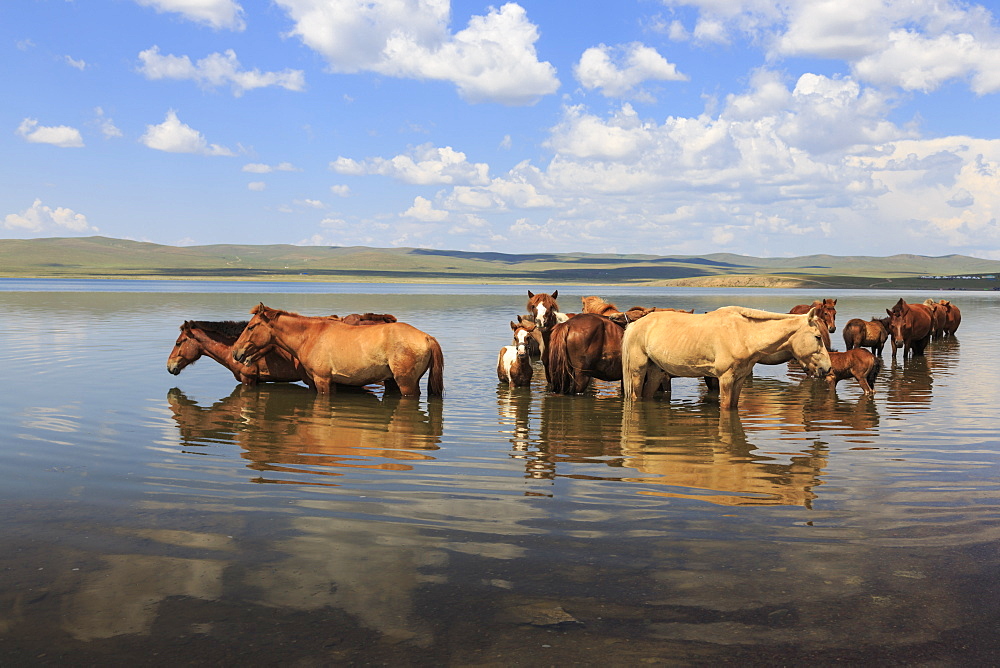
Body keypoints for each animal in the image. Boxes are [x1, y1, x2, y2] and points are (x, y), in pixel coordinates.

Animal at [232, 304, 444, 396]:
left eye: (251, 327)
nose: (236, 352)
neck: (311, 336)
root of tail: (426, 337)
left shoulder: (322, 380)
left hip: (405, 383)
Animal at [620, 306, 832, 410]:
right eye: (817, 337)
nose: (828, 368)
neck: (744, 334)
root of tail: (635, 324)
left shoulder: (739, 379)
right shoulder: (726, 379)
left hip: (656, 372)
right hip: (638, 372)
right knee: (636, 396)